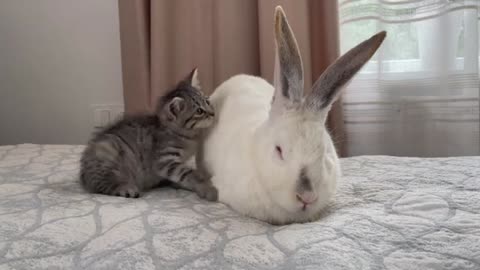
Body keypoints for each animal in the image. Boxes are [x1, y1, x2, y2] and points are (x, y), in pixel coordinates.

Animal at [80, 68, 218, 200]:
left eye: (207, 101)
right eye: (199, 111)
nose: (213, 113)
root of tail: (83, 175)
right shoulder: (164, 161)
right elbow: (189, 173)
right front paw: (207, 188)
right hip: (107, 151)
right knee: (101, 185)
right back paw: (126, 188)